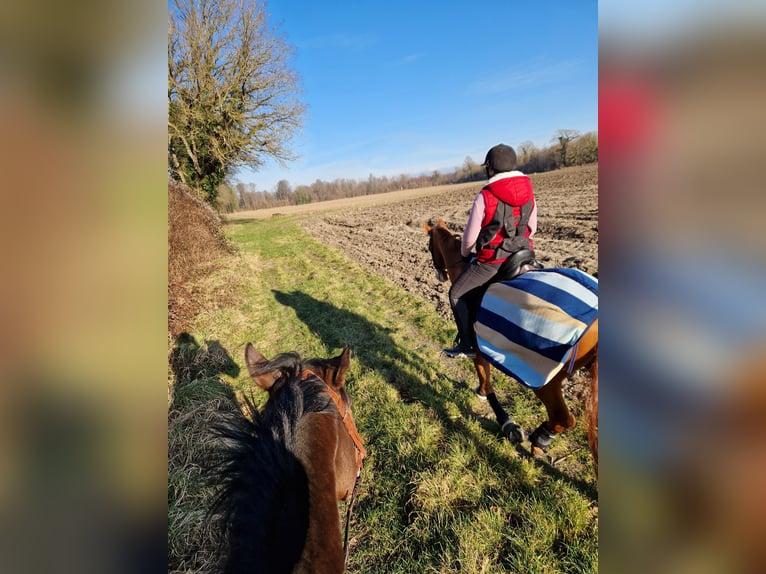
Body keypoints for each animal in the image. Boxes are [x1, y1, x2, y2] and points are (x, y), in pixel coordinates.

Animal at [426, 218, 600, 474]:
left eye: (429, 246)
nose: (438, 274)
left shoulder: (477, 348)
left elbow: (486, 382)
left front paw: (507, 423)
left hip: (546, 381)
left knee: (564, 418)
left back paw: (540, 438)